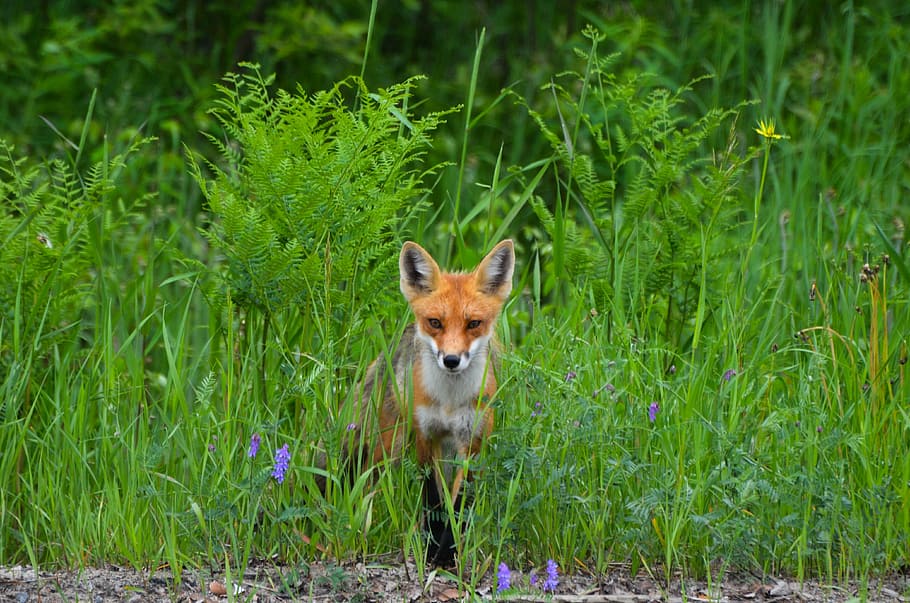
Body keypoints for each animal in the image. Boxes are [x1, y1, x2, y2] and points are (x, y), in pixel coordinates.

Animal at [345, 239, 514, 563]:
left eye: (474, 323)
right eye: (435, 322)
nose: (451, 360)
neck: (449, 401)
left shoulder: (472, 443)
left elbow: (459, 505)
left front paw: (448, 555)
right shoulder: (426, 437)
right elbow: (434, 501)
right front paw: (433, 551)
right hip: (388, 447)